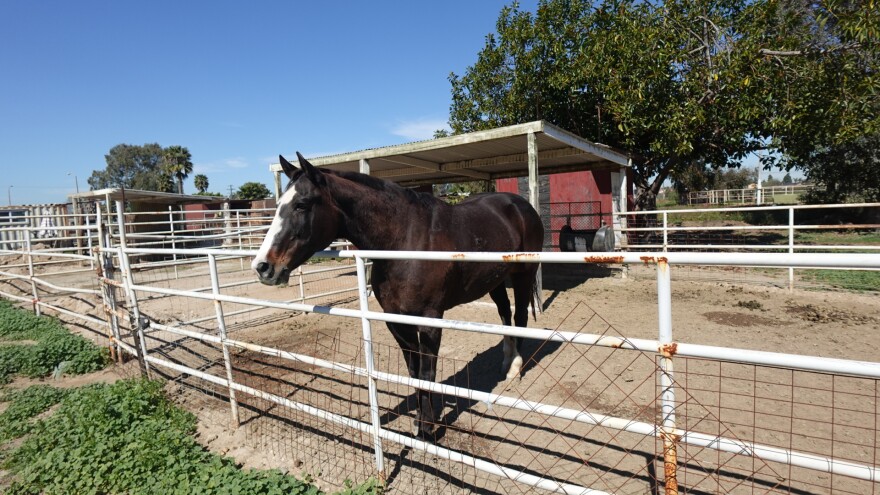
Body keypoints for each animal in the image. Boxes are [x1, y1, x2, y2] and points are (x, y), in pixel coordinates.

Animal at [252, 152, 544, 439]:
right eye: (278, 206)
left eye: (301, 204)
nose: (263, 267)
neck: (404, 240)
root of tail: (521, 205)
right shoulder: (397, 320)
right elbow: (413, 371)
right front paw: (419, 421)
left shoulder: (430, 320)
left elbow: (427, 372)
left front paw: (427, 428)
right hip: (495, 280)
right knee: (504, 313)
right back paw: (506, 362)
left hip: (523, 274)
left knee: (519, 316)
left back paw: (516, 369)